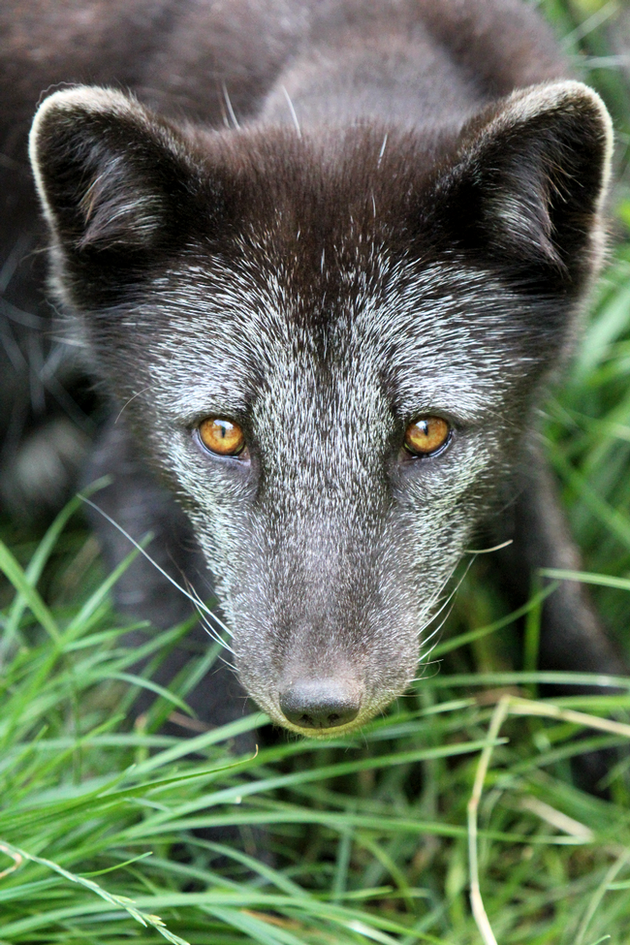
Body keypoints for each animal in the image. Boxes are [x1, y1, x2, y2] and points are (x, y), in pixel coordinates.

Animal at [0, 0, 624, 736]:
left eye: (426, 432)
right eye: (222, 433)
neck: (359, 38)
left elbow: (554, 577)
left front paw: (598, 716)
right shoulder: (127, 472)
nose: (319, 704)